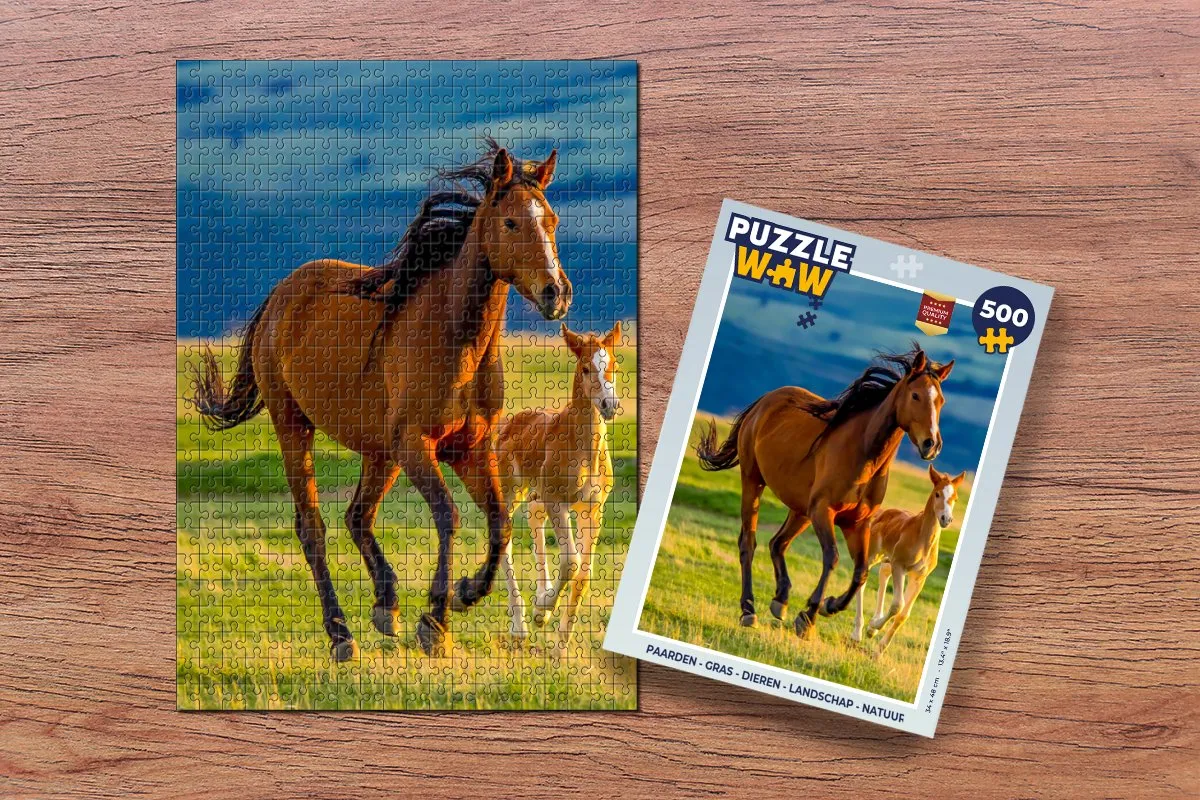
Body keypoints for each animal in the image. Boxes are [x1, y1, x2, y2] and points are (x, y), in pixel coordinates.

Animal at [191, 141, 572, 660]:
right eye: (512, 222)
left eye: (551, 220)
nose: (556, 293)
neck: (456, 339)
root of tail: (281, 295)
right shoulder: (417, 446)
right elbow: (448, 517)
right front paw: (435, 621)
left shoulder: (471, 449)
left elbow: (500, 523)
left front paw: (467, 592)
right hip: (297, 428)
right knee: (313, 528)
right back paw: (340, 633)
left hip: (379, 452)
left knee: (358, 516)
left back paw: (385, 606)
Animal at [497, 323, 620, 654]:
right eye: (586, 368)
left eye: (614, 367)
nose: (610, 406)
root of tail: (507, 424)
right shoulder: (557, 501)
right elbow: (571, 562)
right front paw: (542, 611)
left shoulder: (592, 509)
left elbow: (584, 575)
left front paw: (561, 650)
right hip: (511, 491)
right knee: (505, 538)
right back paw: (521, 626)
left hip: (537, 494)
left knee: (533, 517)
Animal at [695, 346, 953, 640]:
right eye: (915, 395)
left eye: (941, 401)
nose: (931, 445)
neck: (863, 454)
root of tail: (765, 401)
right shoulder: (823, 511)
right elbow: (832, 558)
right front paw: (808, 617)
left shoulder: (857, 523)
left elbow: (860, 572)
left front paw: (829, 605)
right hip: (753, 483)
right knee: (748, 543)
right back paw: (749, 610)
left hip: (800, 510)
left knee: (778, 543)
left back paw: (780, 601)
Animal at [857, 465, 964, 651]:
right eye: (937, 494)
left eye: (955, 499)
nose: (946, 519)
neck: (923, 540)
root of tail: (882, 513)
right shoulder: (899, 566)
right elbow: (897, 606)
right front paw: (874, 626)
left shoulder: (919, 577)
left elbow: (904, 614)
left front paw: (879, 648)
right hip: (873, 555)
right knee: (861, 581)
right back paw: (857, 632)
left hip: (887, 559)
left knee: (883, 573)